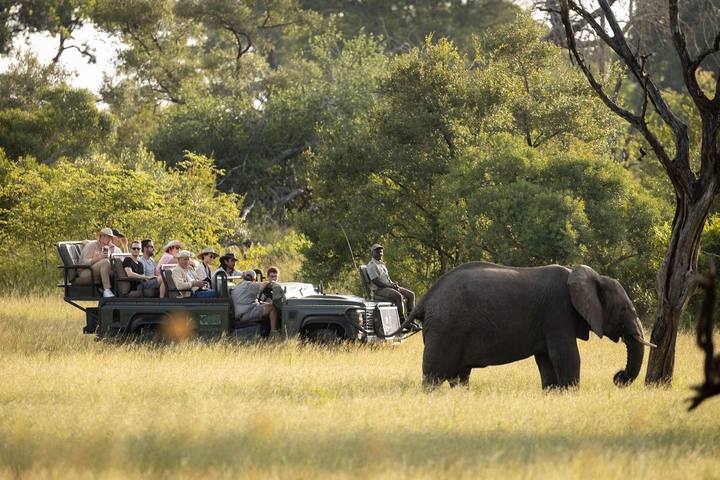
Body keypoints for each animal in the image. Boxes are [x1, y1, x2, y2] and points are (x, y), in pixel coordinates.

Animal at [400, 261, 655, 390]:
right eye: (625, 309)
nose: (618, 378)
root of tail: (426, 297)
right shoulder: (557, 312)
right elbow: (567, 356)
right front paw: (571, 394)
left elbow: (546, 360)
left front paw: (553, 394)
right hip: (445, 328)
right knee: (434, 374)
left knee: (459, 375)